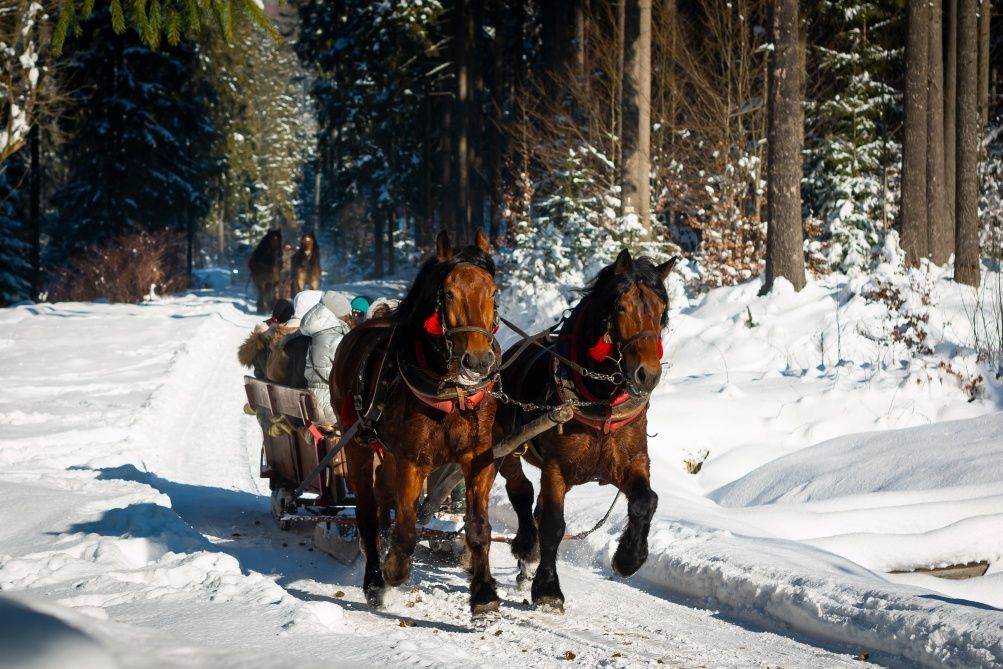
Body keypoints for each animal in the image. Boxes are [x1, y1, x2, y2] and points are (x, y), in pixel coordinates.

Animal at [328, 232, 501, 613]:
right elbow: (406, 531)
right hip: (358, 443)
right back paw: (374, 579)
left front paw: (483, 592)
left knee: (382, 493)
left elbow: (478, 527)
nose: (479, 360)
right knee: (367, 512)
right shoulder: (412, 460)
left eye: (493, 291)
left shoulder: (478, 457)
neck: (452, 393)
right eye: (448, 293)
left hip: (388, 452)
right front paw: (393, 569)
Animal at [491, 249, 674, 613]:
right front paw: (548, 590)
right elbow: (553, 525)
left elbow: (646, 500)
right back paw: (526, 548)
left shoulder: (631, 461)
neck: (599, 400)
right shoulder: (556, 467)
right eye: (621, 308)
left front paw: (629, 558)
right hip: (508, 447)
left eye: (662, 310)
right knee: (521, 492)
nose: (647, 374)